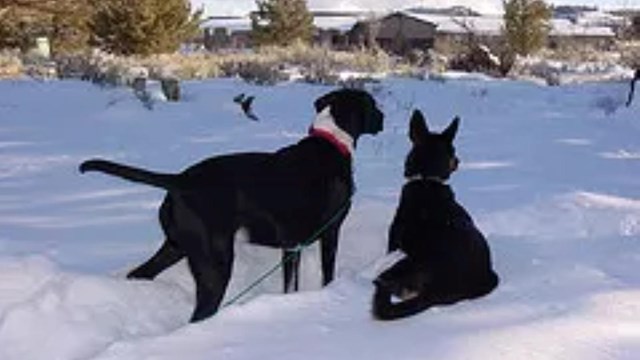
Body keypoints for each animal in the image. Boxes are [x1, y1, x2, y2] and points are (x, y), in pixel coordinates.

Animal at [78, 88, 382, 322]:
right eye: (374, 105)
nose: (383, 118)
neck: (330, 142)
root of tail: (180, 180)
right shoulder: (328, 233)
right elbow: (324, 275)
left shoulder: (292, 246)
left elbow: (292, 285)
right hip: (216, 265)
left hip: (177, 247)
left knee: (140, 273)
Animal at [370, 109, 500, 320]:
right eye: (453, 152)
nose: (458, 161)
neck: (427, 179)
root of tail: (436, 291)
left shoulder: (394, 239)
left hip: (403, 262)